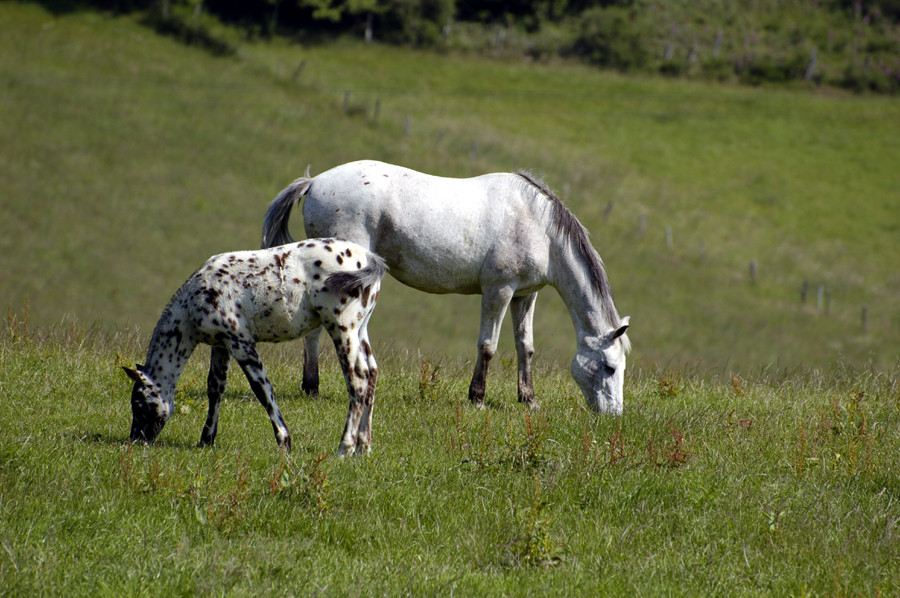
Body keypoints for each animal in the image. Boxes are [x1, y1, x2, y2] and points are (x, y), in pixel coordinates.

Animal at [122, 237, 384, 458]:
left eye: (139, 402)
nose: (136, 440)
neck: (196, 298)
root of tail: (368, 257)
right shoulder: (221, 345)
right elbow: (215, 388)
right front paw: (206, 440)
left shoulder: (241, 343)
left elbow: (262, 389)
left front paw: (284, 441)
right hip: (360, 330)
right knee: (371, 374)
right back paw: (364, 447)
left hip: (342, 329)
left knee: (357, 381)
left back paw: (344, 449)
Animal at [260, 162, 628, 414]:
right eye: (609, 367)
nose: (613, 415)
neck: (537, 225)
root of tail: (314, 182)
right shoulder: (499, 290)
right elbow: (487, 346)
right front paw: (477, 398)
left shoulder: (525, 295)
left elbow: (526, 347)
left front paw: (529, 399)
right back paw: (314, 387)